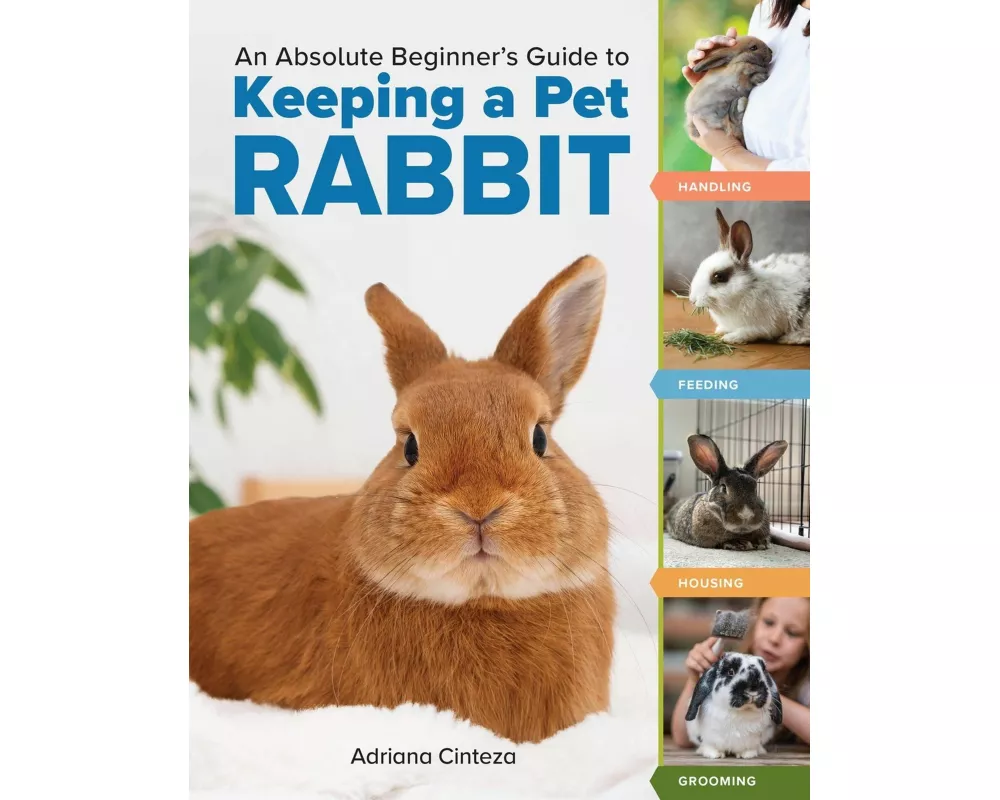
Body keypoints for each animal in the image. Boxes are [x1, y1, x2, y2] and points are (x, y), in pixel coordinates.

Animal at [688, 208, 810, 345]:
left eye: (719, 276)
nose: (692, 299)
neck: (747, 288)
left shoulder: (762, 327)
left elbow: (746, 333)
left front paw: (730, 338)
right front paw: (720, 330)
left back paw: (789, 338)